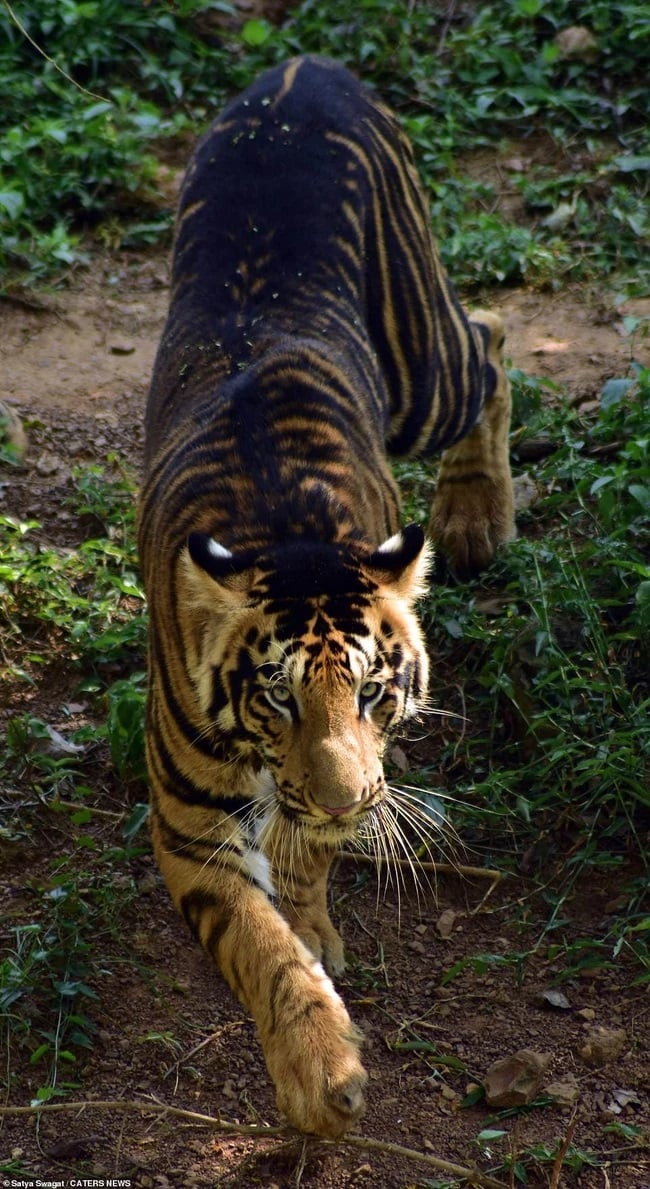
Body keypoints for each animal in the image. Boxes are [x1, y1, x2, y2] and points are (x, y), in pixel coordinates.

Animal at [138, 53, 518, 1131]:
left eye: (375, 691)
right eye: (274, 696)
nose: (351, 797)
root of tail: (299, 65)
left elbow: (305, 857)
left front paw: (314, 915)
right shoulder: (187, 822)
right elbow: (254, 940)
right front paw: (320, 1069)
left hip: (425, 372)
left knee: (489, 338)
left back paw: (474, 514)